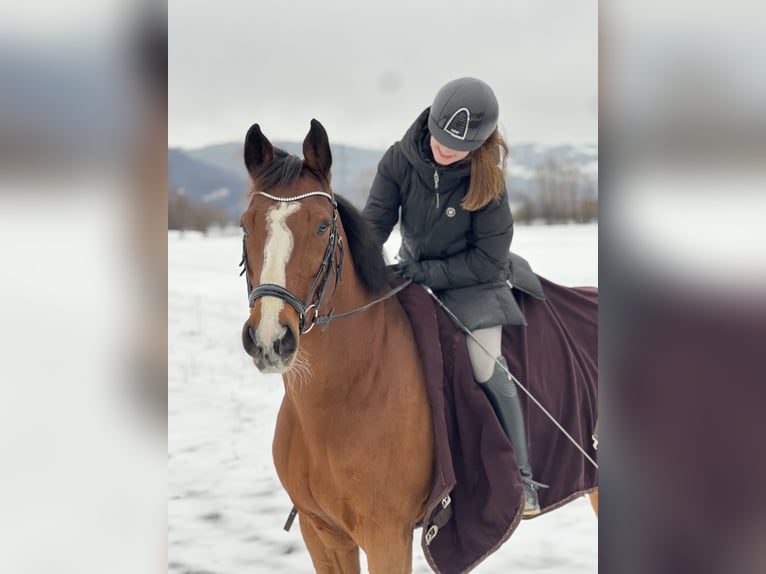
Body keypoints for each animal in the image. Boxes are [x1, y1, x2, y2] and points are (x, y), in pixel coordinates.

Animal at [240, 119, 600, 572]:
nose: (271, 338)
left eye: (322, 225)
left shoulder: (387, 537)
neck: (344, 396)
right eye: (246, 225)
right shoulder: (321, 534)